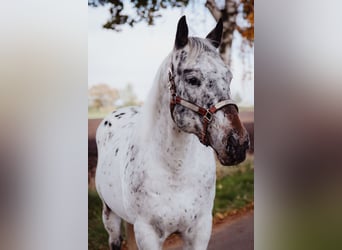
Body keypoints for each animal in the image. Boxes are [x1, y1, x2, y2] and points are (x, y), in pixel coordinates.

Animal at [95, 16, 250, 250]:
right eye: (192, 79)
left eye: (229, 77)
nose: (237, 143)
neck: (175, 170)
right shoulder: (147, 233)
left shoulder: (199, 230)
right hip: (110, 216)